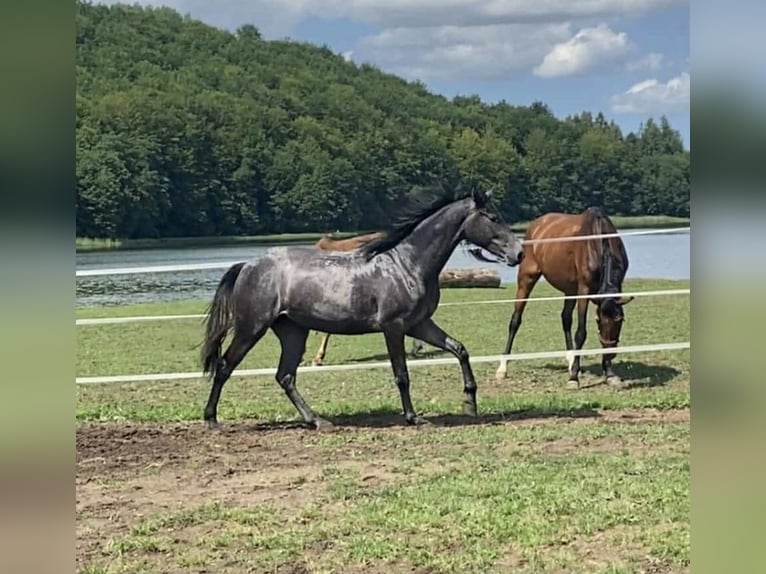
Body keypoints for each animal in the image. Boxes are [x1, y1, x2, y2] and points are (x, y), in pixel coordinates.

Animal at [498, 208, 636, 392]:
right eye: (598, 321)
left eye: (620, 321)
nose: (610, 353)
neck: (598, 240)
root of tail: (536, 224)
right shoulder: (584, 290)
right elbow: (581, 333)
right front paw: (573, 379)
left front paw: (610, 374)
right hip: (527, 278)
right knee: (515, 321)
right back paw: (502, 368)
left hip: (570, 289)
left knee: (565, 318)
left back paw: (571, 362)